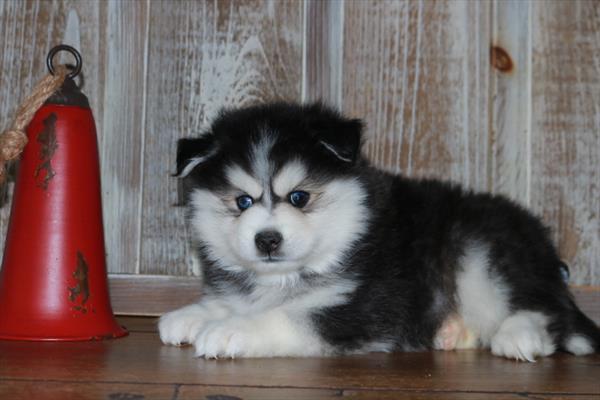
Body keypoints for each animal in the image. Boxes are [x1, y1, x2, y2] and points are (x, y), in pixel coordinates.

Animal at [159, 101, 600, 360]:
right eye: (242, 202)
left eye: (299, 197)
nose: (267, 239)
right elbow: (237, 301)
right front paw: (194, 314)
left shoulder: (364, 306)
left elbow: (288, 316)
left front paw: (230, 329)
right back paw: (451, 333)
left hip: (484, 251)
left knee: (547, 310)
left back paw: (519, 336)